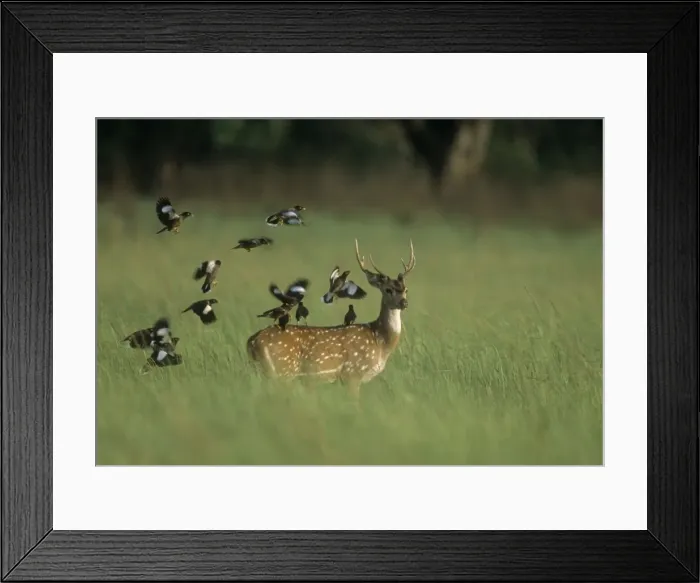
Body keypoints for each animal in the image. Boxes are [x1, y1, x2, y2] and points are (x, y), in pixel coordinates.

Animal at [246, 238, 416, 396]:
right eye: (388, 289)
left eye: (406, 289)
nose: (404, 302)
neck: (380, 340)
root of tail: (252, 341)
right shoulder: (352, 373)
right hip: (282, 370)